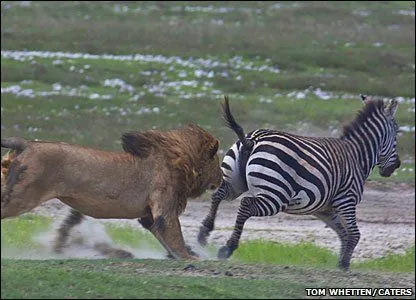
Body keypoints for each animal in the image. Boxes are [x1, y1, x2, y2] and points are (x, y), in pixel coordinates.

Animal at [1, 124, 223, 260]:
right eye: (217, 162)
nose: (222, 178)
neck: (181, 160)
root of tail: (27, 143)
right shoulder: (164, 208)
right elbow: (175, 236)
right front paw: (190, 257)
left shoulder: (148, 215)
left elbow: (165, 238)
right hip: (22, 195)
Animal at [198, 95, 400, 270]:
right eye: (397, 133)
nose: (397, 165)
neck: (358, 156)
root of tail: (252, 140)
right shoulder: (346, 200)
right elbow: (354, 234)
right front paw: (344, 265)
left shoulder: (325, 209)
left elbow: (343, 233)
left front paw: (341, 263)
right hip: (276, 196)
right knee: (246, 204)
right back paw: (228, 247)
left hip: (234, 181)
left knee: (218, 194)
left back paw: (204, 233)